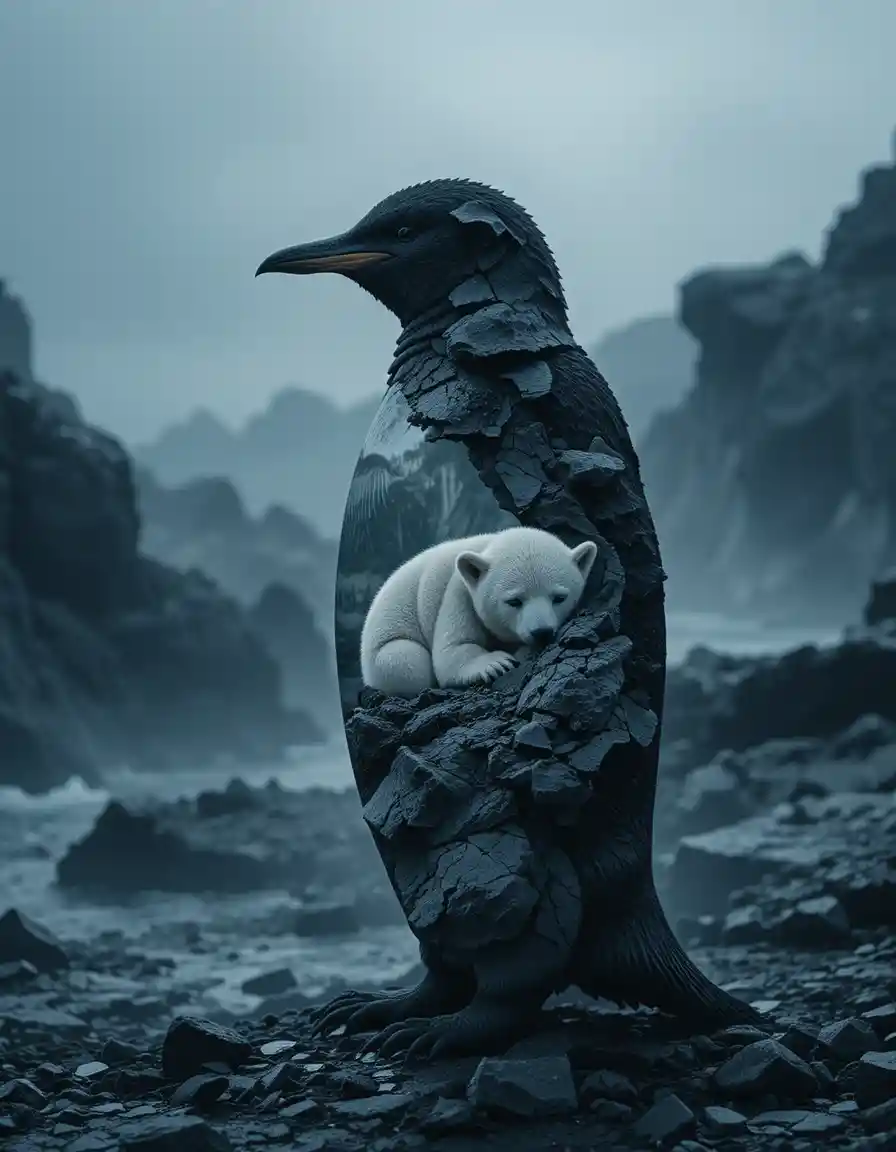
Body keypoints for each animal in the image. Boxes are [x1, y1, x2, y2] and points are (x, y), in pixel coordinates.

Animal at [360, 526, 599, 697]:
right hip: (382, 649)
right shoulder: (459, 592)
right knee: (407, 658)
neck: (487, 548)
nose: (542, 632)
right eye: (514, 601)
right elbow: (452, 650)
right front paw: (497, 663)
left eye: (559, 597)